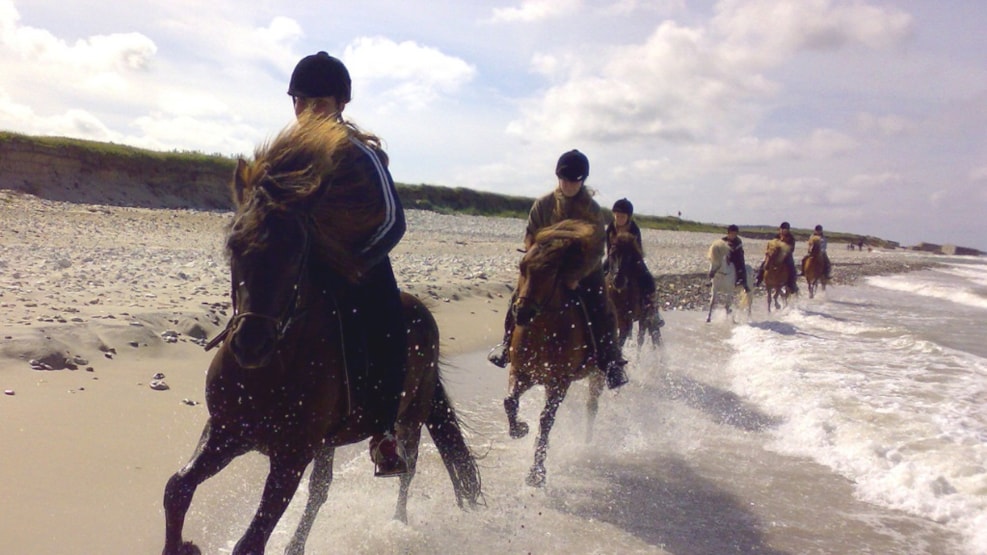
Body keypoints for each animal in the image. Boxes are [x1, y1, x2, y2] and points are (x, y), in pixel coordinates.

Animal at [164, 115, 480, 552]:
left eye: (296, 249)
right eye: (235, 244)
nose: (251, 345)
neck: (274, 367)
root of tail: (424, 314)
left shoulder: (290, 458)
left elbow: (252, 540)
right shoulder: (225, 433)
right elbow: (177, 488)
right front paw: (181, 544)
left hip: (410, 417)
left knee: (407, 468)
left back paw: (397, 524)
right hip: (329, 442)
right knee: (321, 490)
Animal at [506, 219, 604, 488]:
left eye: (550, 271)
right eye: (522, 267)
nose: (521, 313)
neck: (543, 330)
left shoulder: (558, 383)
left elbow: (546, 421)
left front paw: (537, 473)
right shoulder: (522, 372)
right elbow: (510, 401)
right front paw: (519, 429)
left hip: (598, 376)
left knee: (592, 407)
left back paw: (587, 442)